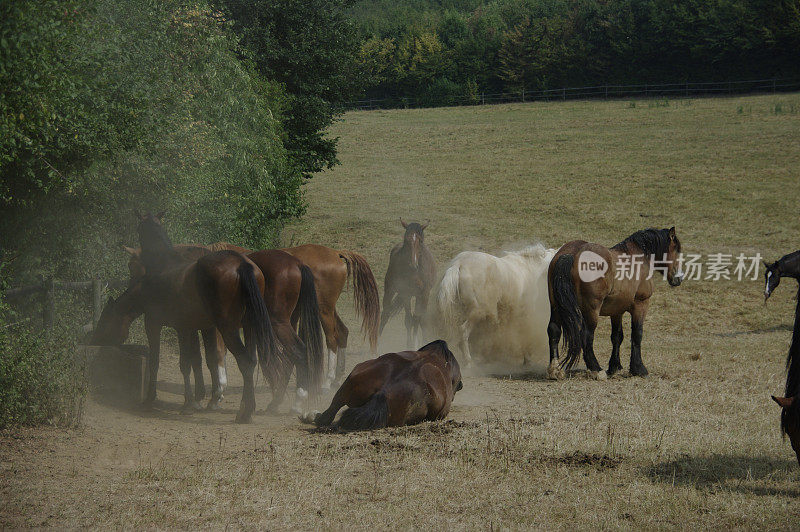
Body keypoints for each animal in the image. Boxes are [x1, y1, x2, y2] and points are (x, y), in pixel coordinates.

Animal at [378, 220, 434, 350]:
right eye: (406, 240)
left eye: (421, 240)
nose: (413, 265)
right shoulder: (406, 293)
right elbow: (409, 320)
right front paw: (410, 345)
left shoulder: (423, 294)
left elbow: (418, 319)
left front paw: (418, 344)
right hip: (390, 290)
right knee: (385, 314)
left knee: (419, 319)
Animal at [548, 227, 684, 380]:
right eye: (677, 249)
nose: (679, 278)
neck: (639, 256)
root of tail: (571, 254)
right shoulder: (641, 304)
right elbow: (637, 334)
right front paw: (638, 368)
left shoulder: (616, 311)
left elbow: (617, 337)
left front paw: (614, 366)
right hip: (591, 310)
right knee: (586, 335)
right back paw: (596, 369)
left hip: (556, 306)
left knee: (554, 330)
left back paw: (555, 370)